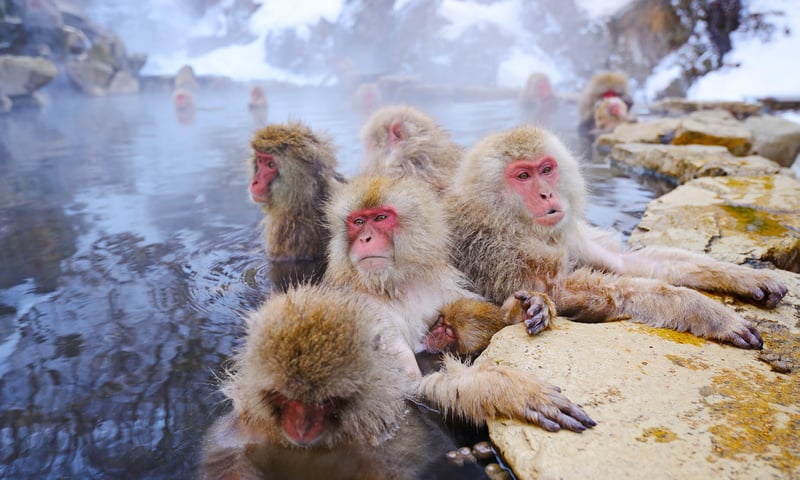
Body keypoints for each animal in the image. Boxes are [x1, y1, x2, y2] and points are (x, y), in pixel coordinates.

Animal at [323, 175, 596, 433]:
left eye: (380, 218)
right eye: (358, 222)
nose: (366, 238)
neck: (396, 284)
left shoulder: (443, 285)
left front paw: (529, 307)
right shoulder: (368, 309)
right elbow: (407, 388)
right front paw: (507, 389)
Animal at [445, 125, 789, 350]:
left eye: (545, 170)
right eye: (522, 176)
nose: (546, 194)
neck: (507, 221)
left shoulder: (568, 233)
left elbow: (625, 262)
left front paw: (745, 276)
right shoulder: (496, 250)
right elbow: (561, 291)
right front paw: (708, 312)